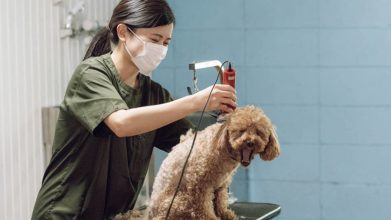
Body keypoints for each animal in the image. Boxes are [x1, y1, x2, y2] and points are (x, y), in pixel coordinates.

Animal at [149, 105, 280, 219]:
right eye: (241, 131)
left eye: (258, 132)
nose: (250, 142)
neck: (223, 150)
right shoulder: (199, 185)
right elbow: (203, 208)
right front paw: (211, 218)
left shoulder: (221, 185)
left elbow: (220, 202)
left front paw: (226, 214)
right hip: (180, 200)